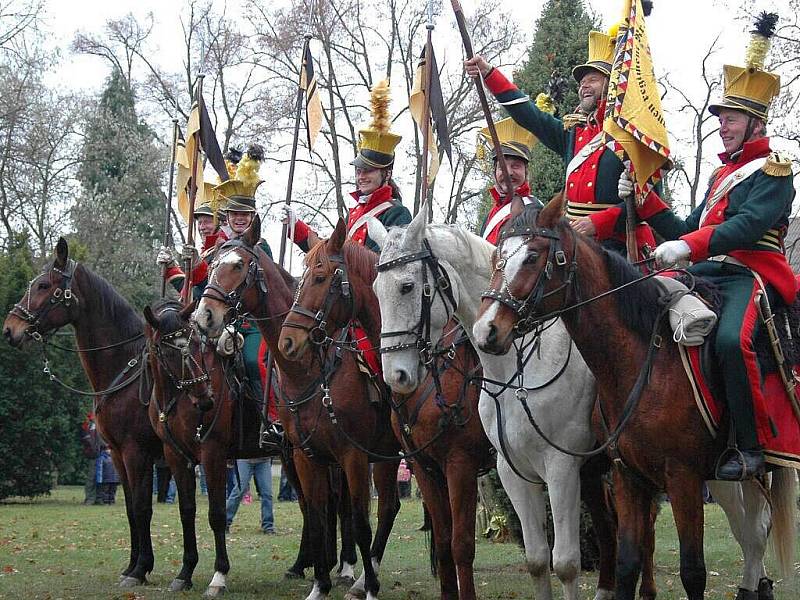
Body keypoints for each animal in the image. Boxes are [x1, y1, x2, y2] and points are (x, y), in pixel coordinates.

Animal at [2, 238, 162, 584]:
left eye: (44, 285)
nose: (10, 330)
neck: (125, 368)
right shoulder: (117, 454)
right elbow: (130, 509)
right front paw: (132, 565)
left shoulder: (137, 453)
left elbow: (142, 508)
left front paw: (141, 569)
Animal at [194, 216, 400, 600]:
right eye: (211, 265)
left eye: (238, 265)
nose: (205, 316)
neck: (311, 369)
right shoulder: (306, 455)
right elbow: (317, 515)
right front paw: (319, 584)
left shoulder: (353, 455)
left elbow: (357, 520)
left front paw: (356, 580)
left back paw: (362, 579)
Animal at [278, 220, 496, 600]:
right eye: (298, 281)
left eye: (320, 278)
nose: (287, 341)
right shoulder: (315, 456)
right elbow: (321, 517)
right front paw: (322, 584)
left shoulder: (455, 464)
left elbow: (455, 543)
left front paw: (363, 584)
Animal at [372, 207, 784, 600]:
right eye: (377, 290)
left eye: (408, 286)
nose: (397, 375)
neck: (518, 371)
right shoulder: (507, 471)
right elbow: (531, 558)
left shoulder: (551, 466)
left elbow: (561, 561)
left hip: (711, 472)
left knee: (751, 529)